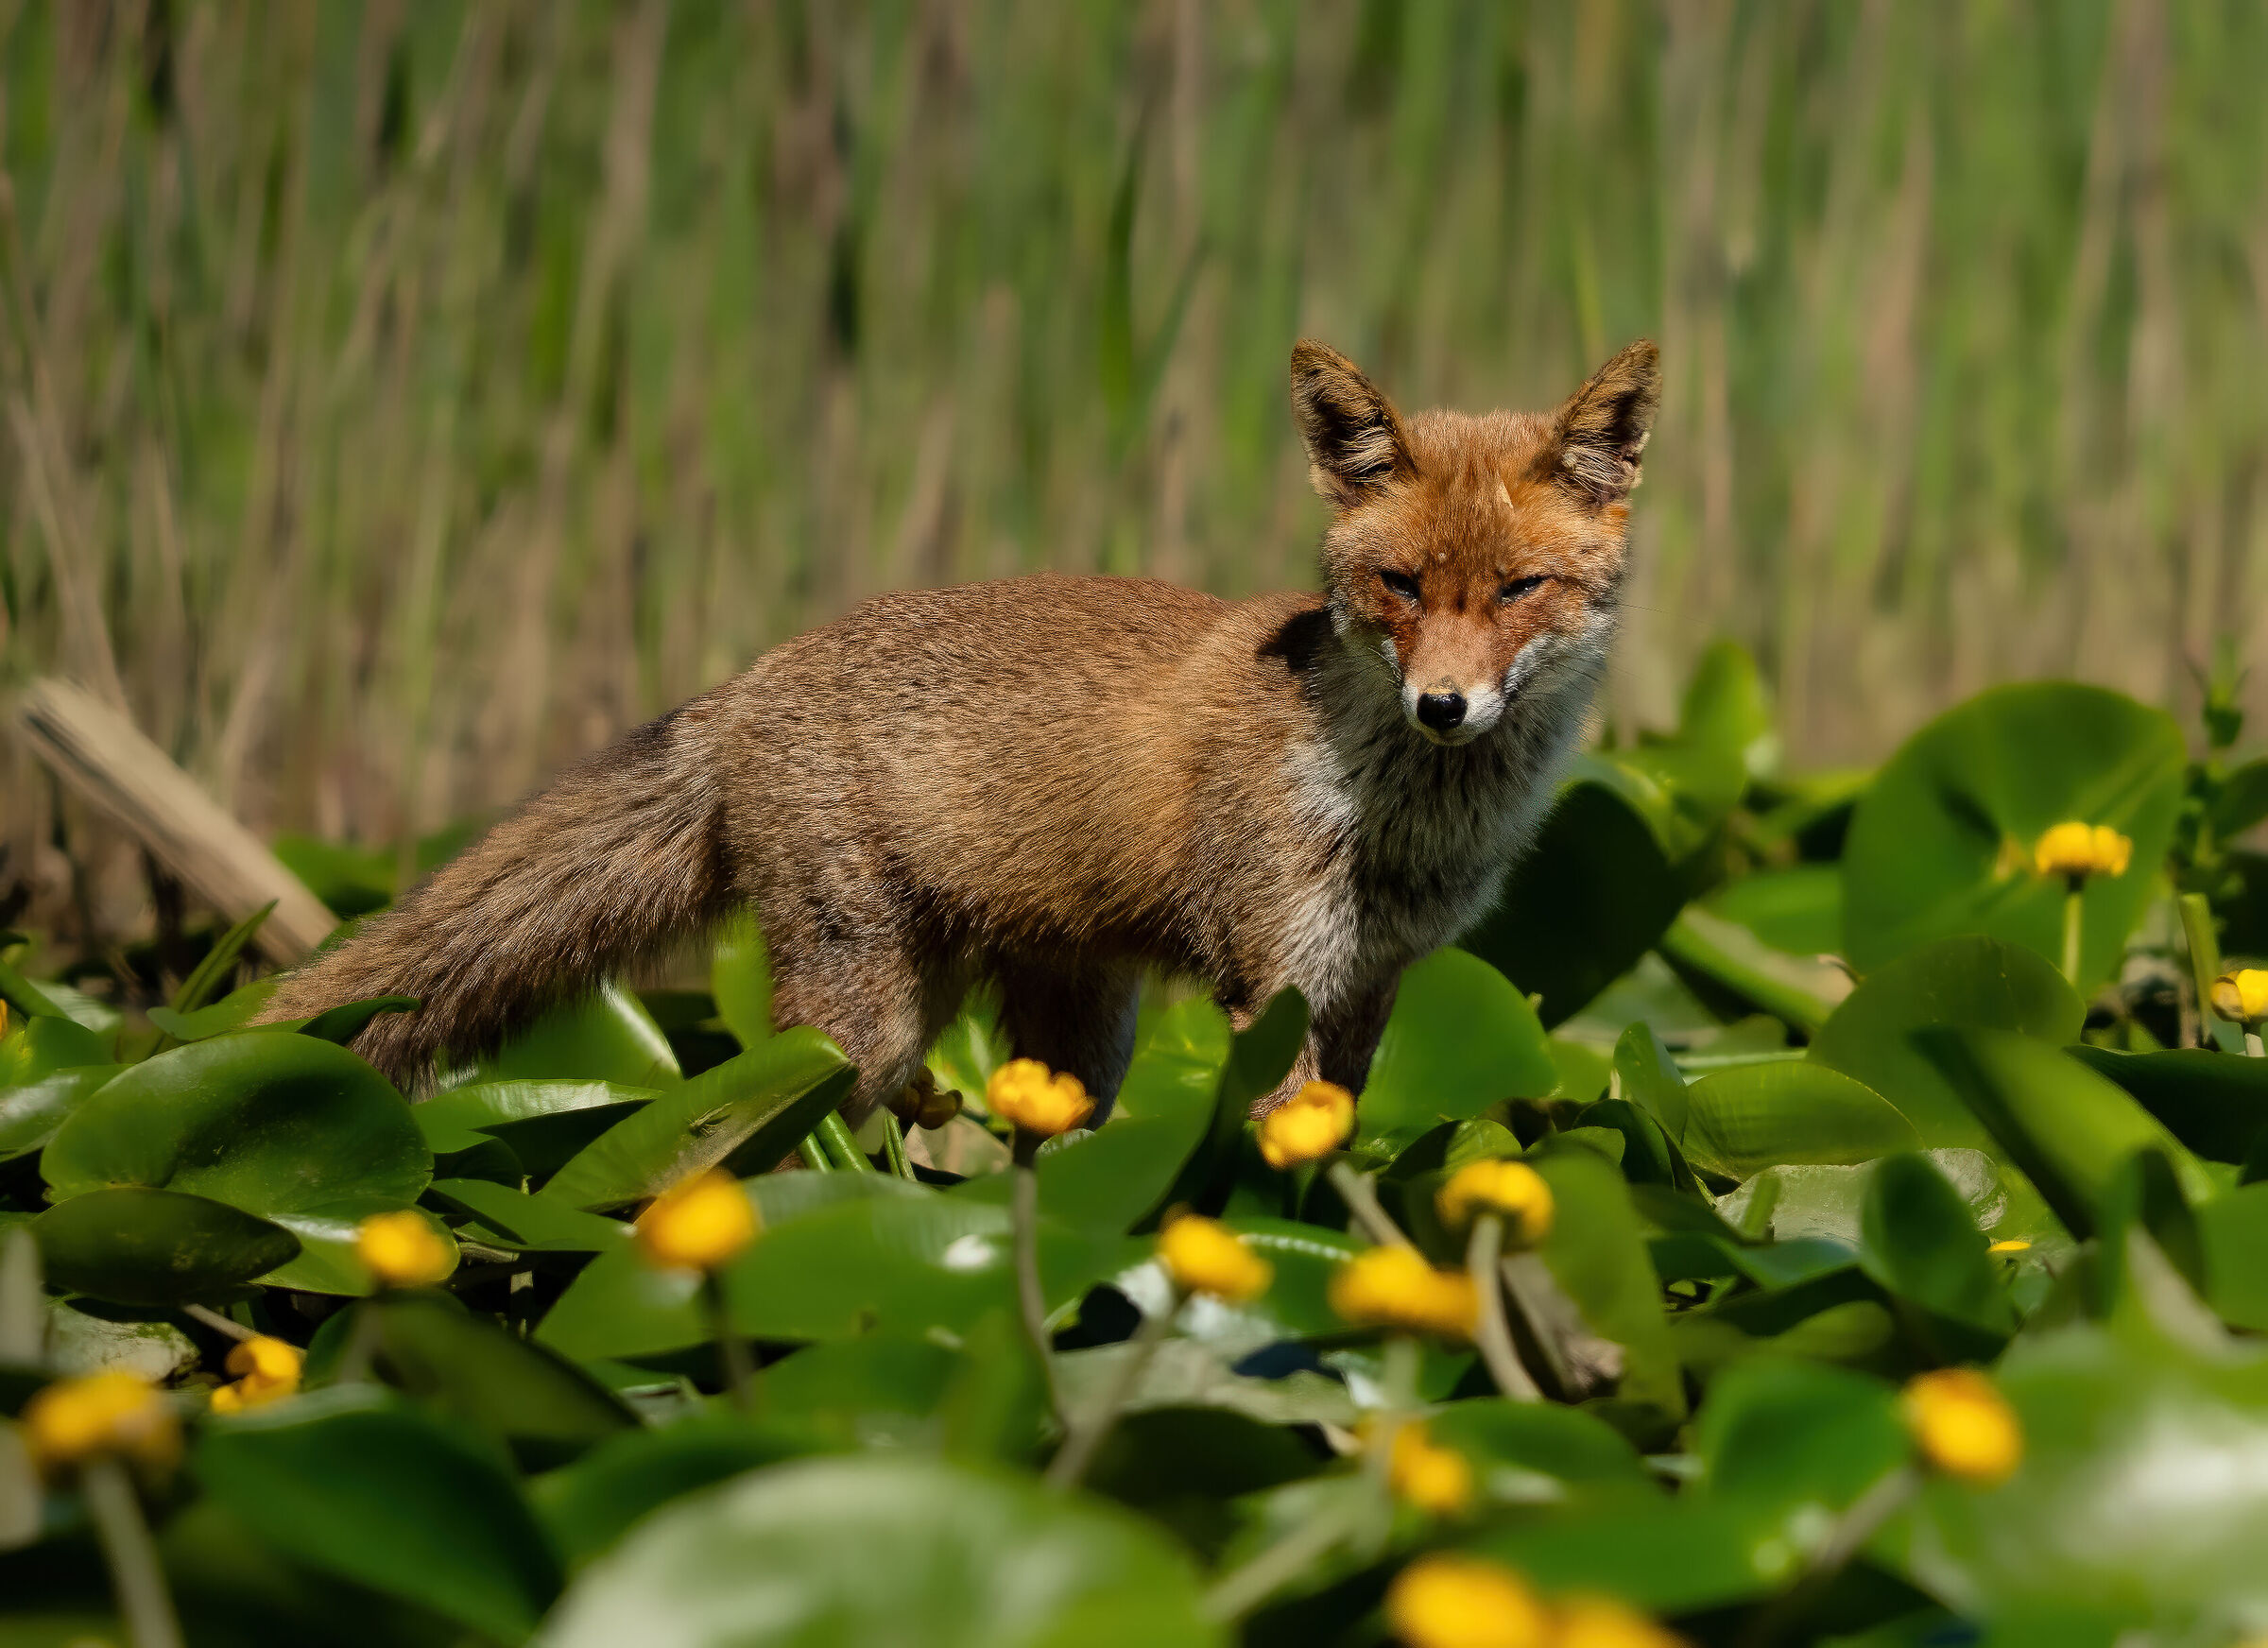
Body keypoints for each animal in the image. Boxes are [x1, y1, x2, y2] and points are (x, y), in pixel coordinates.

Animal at [259, 338, 1661, 1130]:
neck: (1400, 820)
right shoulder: (1272, 980)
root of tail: (752, 678)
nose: (1443, 706)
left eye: (1520, 590)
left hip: (1076, 1028)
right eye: (1403, 587)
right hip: (860, 1020)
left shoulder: (1371, 987)